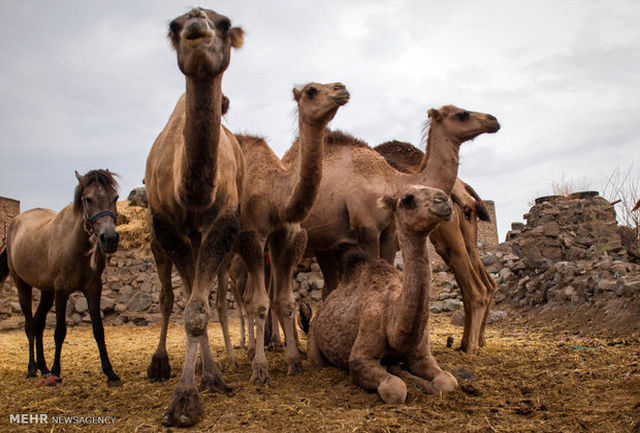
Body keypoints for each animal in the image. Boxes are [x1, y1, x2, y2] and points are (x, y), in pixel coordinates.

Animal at [0, 169, 121, 384]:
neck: (76, 246)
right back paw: (32, 368)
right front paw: (57, 371)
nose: (109, 239)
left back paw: (43, 367)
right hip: (23, 286)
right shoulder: (62, 291)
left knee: (38, 324)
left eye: (114, 197)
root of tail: (15, 223)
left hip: (47, 292)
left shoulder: (93, 289)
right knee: (30, 325)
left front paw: (109, 371)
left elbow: (98, 330)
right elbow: (59, 331)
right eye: (88, 199)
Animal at [235, 80, 350, 382]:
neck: (276, 195)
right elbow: (260, 304)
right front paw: (260, 369)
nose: (341, 88)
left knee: (248, 296)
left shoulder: (286, 237)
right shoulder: (252, 235)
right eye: (311, 90)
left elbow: (284, 301)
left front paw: (294, 361)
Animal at [308, 184, 458, 404]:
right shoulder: (361, 357)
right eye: (407, 199)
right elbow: (395, 389)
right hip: (314, 341)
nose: (443, 200)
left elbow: (448, 381)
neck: (392, 315)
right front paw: (405, 379)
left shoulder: (422, 356)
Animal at [376, 140, 500, 352]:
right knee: (486, 284)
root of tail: (464, 188)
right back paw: (472, 342)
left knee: (476, 289)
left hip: (449, 237)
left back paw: (470, 347)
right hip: (464, 239)